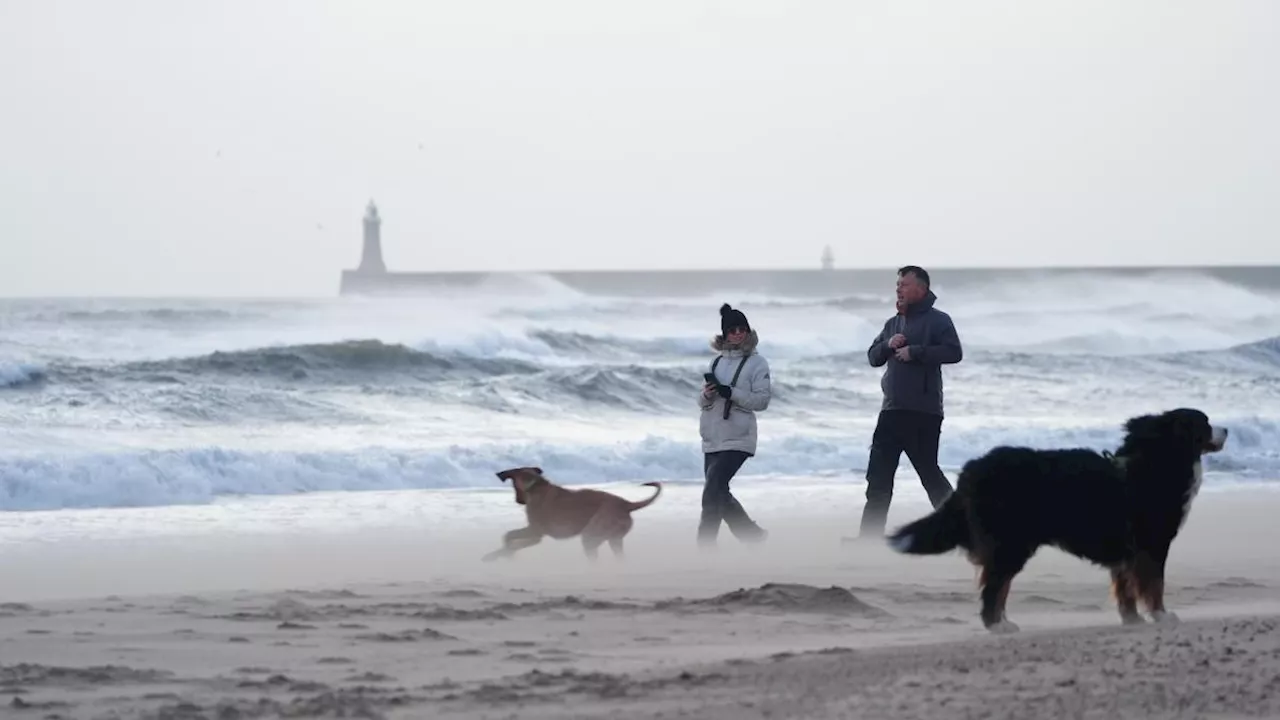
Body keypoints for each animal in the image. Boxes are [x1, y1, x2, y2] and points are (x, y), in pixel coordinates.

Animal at [483, 466, 665, 561]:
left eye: (514, 486)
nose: (518, 501)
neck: (536, 486)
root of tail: (626, 504)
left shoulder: (535, 532)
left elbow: (509, 537)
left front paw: (501, 553)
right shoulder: (535, 535)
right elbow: (511, 540)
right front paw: (506, 553)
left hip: (592, 536)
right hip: (614, 539)